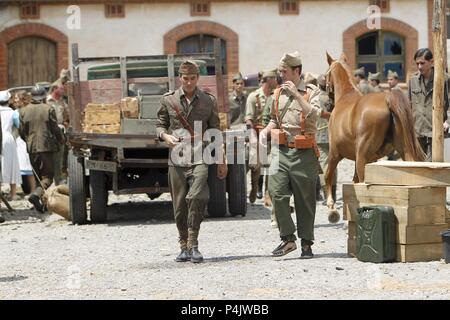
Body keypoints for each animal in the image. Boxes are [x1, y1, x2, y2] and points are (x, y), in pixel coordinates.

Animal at [322, 52, 424, 222]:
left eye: (325, 76)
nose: (327, 104)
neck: (346, 96)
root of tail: (387, 98)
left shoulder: (334, 154)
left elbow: (327, 176)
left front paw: (331, 208)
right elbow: (353, 182)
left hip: (362, 158)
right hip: (403, 152)